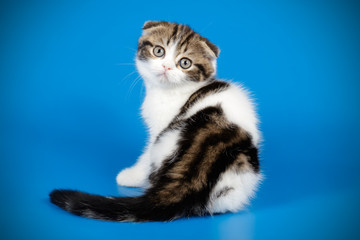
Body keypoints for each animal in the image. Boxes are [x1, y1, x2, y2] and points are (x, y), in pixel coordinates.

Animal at [49, 20, 260, 221]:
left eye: (185, 63)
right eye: (159, 51)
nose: (166, 66)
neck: (168, 92)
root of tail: (193, 176)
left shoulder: (159, 130)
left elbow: (146, 155)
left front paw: (130, 176)